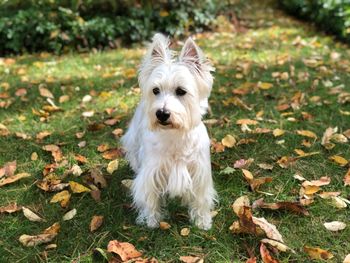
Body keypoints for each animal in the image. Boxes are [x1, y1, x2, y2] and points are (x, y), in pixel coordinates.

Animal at [122, 33, 216, 231]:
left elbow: (200, 199)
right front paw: (151, 220)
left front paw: (202, 221)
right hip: (134, 139)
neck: (175, 134)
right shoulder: (151, 171)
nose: (162, 113)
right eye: (155, 90)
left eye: (181, 91)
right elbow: (149, 197)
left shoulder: (199, 173)